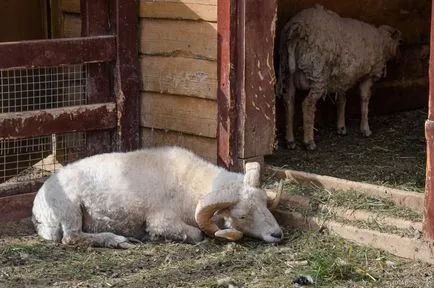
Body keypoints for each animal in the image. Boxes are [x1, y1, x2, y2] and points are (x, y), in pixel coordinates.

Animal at [31, 146, 282, 248]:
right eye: (241, 216)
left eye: (264, 204)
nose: (277, 234)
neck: (190, 183)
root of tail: (37, 212)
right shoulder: (160, 220)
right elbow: (196, 234)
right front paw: (153, 237)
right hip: (69, 209)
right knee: (71, 237)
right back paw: (116, 240)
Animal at [276, 5, 402, 151]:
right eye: (399, 42)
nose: (398, 59)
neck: (382, 43)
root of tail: (298, 28)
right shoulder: (368, 75)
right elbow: (364, 99)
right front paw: (365, 128)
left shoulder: (342, 76)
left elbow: (342, 100)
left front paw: (341, 127)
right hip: (317, 72)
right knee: (308, 104)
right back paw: (309, 141)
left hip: (287, 72)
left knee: (288, 101)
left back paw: (290, 140)